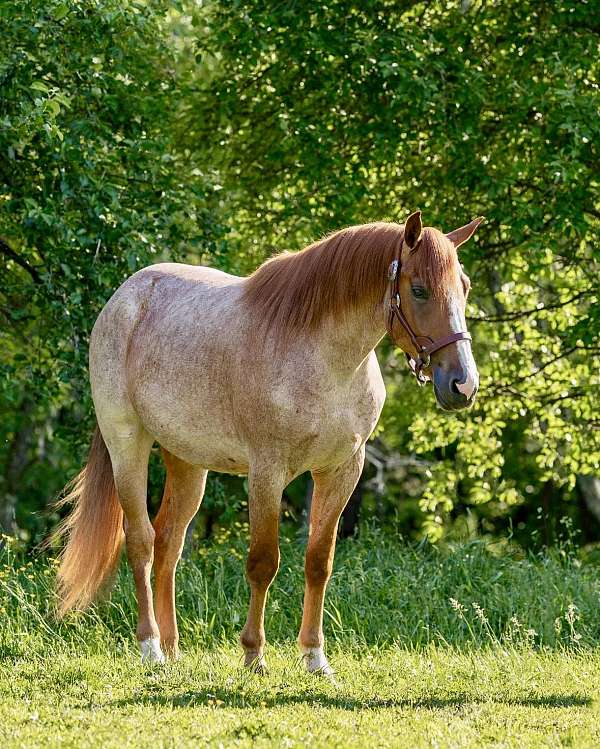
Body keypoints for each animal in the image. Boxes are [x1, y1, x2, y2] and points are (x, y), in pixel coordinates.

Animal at [56, 209, 482, 672]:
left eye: (464, 286)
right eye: (419, 290)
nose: (462, 385)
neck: (325, 361)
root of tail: (124, 297)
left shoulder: (341, 470)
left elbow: (319, 562)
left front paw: (315, 657)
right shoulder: (267, 472)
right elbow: (263, 563)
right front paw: (253, 655)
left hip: (187, 462)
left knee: (169, 543)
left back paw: (173, 648)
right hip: (127, 445)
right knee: (141, 542)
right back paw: (152, 650)